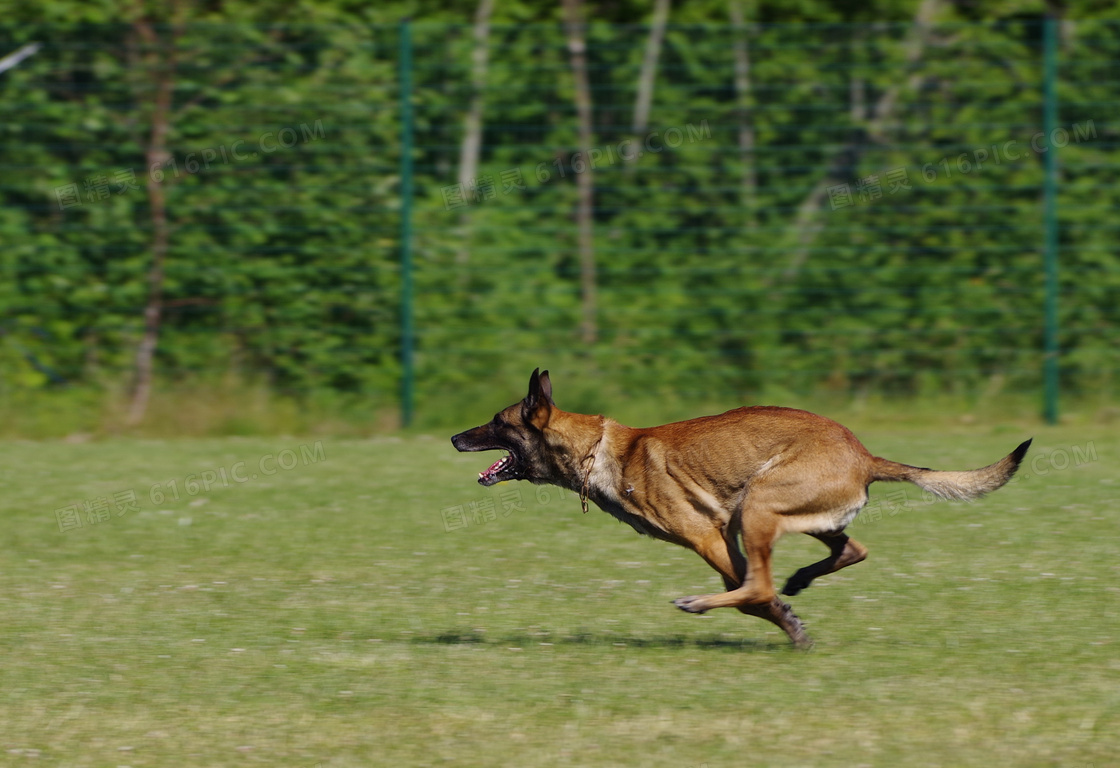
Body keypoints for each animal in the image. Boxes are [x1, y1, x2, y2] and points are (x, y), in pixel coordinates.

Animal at [450, 369, 1025, 644]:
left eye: (497, 422)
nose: (455, 437)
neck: (600, 450)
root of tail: (865, 456)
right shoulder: (725, 539)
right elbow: (753, 590)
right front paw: (790, 618)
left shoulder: (708, 537)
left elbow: (752, 594)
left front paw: (786, 624)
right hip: (794, 517)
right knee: (849, 549)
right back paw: (800, 582)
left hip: (759, 506)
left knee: (764, 584)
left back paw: (705, 603)